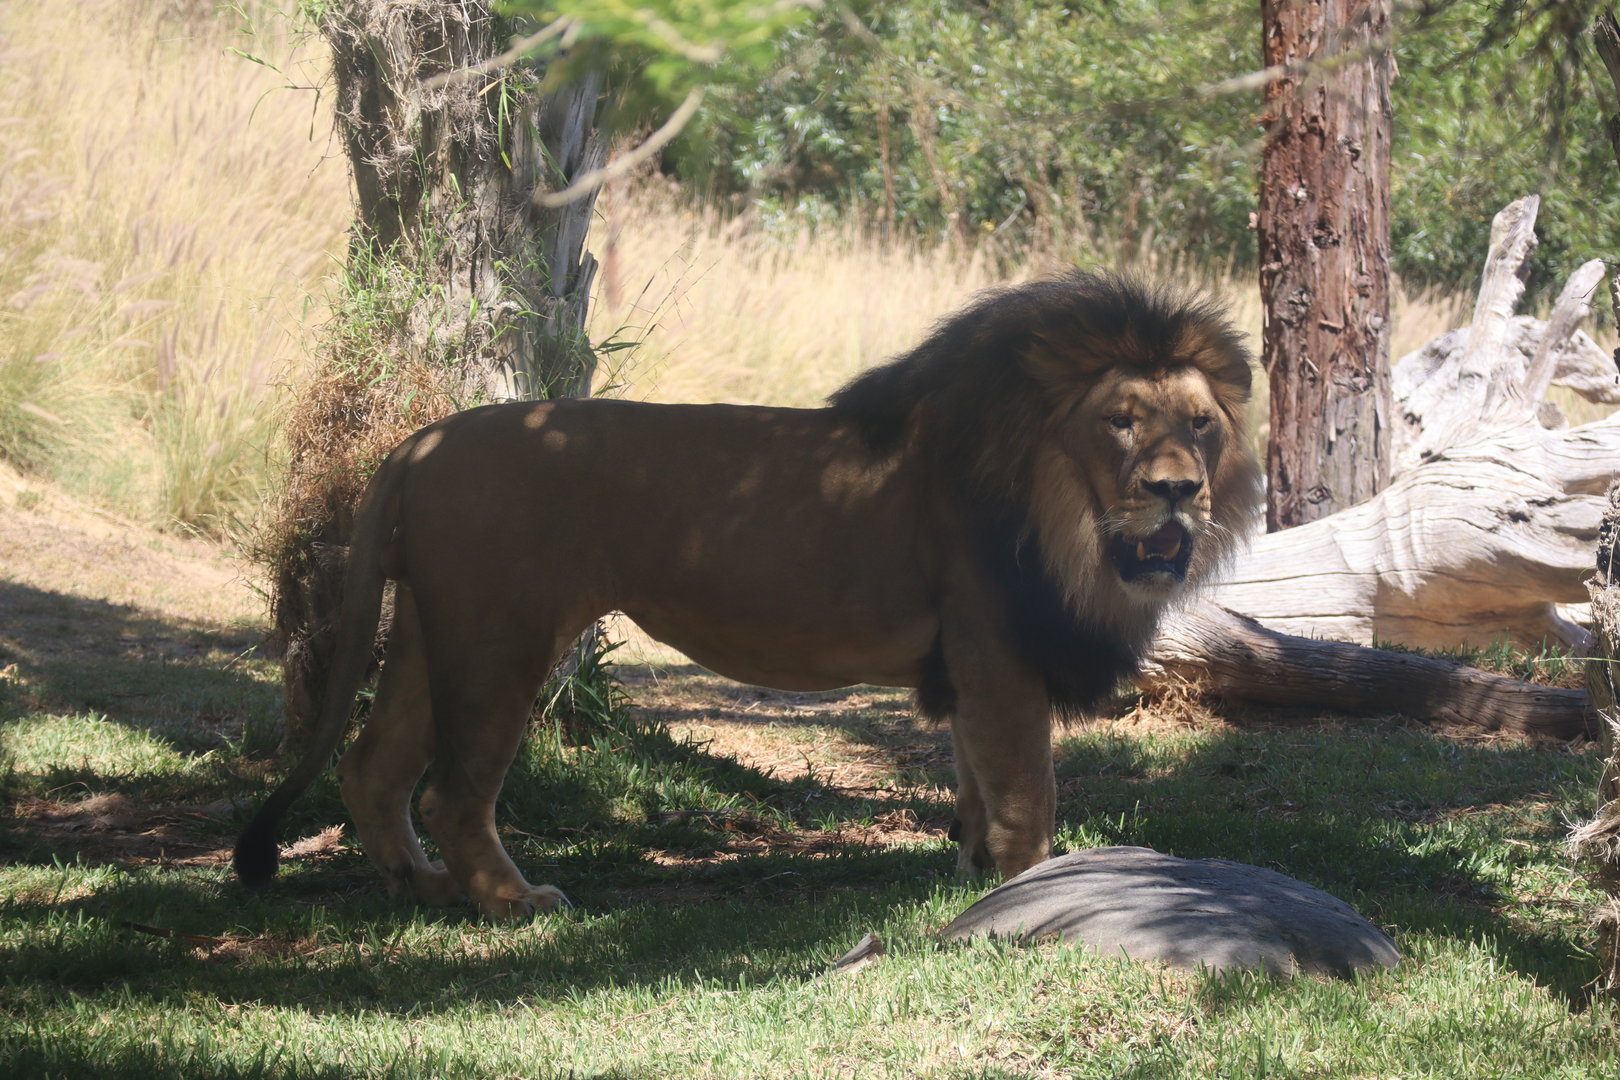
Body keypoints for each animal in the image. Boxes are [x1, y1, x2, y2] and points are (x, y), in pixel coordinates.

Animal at [234, 270, 1261, 920]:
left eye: (1201, 426)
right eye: (1121, 422)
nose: (1177, 490)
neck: (1066, 514)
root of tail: (418, 443)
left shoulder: (971, 666)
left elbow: (975, 780)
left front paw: (975, 874)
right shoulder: (998, 650)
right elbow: (1025, 792)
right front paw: (1030, 887)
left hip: (430, 625)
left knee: (371, 766)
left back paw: (419, 887)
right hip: (503, 634)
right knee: (452, 792)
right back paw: (514, 903)